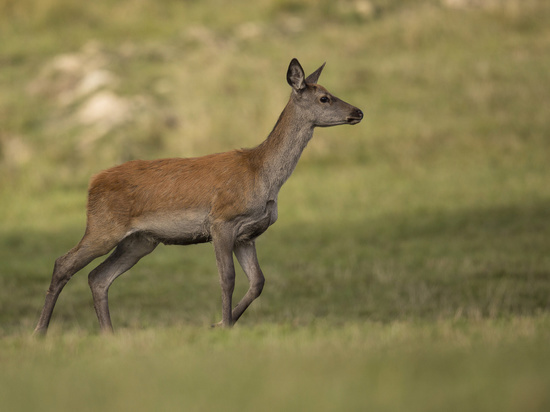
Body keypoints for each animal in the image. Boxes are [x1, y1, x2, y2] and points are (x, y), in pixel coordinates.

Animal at [33, 58, 362, 334]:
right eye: (324, 98)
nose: (358, 111)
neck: (263, 175)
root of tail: (92, 182)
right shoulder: (222, 220)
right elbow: (227, 278)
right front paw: (224, 325)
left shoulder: (247, 234)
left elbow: (258, 281)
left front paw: (220, 323)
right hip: (104, 226)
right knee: (63, 263)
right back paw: (40, 331)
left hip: (140, 241)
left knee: (98, 277)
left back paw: (108, 334)